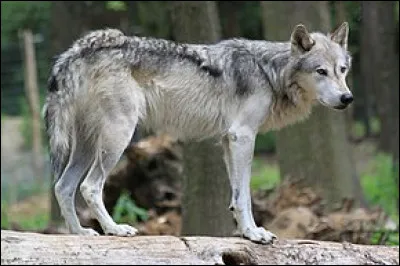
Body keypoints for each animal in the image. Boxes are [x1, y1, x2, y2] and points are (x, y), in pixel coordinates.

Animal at [42, 21, 352, 244]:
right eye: (321, 71)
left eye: (343, 70)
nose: (347, 98)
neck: (269, 72)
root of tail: (78, 50)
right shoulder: (243, 137)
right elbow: (245, 197)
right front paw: (255, 234)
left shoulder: (228, 141)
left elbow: (236, 196)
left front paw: (245, 233)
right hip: (117, 138)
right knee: (89, 187)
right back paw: (114, 229)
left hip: (86, 146)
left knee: (63, 187)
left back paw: (80, 233)